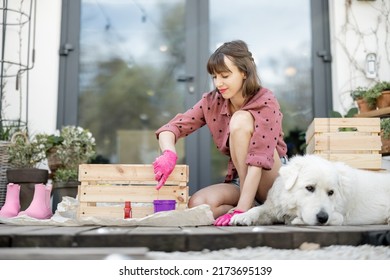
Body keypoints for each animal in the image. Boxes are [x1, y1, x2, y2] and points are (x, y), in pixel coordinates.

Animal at [230, 154, 390, 226]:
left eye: (331, 192)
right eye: (310, 188)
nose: (322, 217)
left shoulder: (339, 217)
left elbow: (334, 218)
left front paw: (297, 221)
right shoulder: (273, 208)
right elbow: (257, 209)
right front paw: (242, 216)